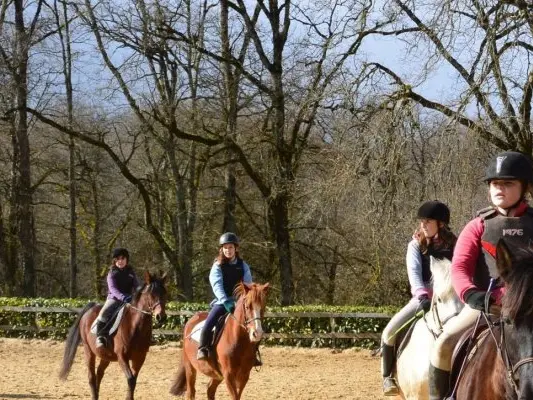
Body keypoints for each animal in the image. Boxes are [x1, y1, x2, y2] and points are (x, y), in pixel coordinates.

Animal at [58, 270, 167, 398]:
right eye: (151, 294)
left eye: (164, 293)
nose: (161, 317)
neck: (135, 326)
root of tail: (91, 308)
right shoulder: (122, 357)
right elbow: (130, 379)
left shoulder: (139, 358)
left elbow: (134, 381)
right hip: (88, 350)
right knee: (91, 376)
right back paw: (94, 395)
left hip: (106, 355)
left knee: (99, 373)